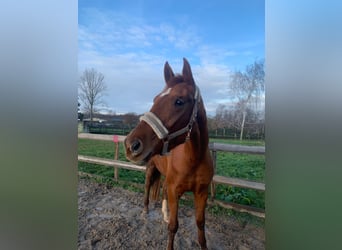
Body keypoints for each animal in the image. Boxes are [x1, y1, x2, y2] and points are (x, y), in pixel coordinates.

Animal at [124, 58, 212, 250]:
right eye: (155, 99)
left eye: (179, 101)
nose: (131, 145)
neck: (194, 158)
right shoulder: (174, 190)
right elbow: (173, 226)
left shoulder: (202, 193)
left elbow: (200, 224)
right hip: (150, 170)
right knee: (148, 187)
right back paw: (146, 210)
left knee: (162, 188)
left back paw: (164, 213)